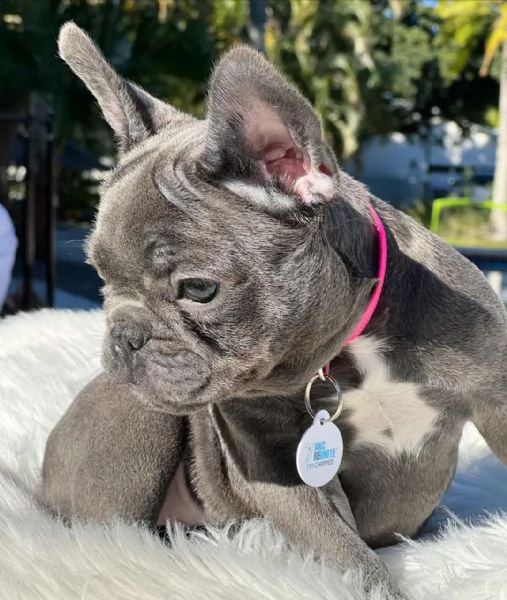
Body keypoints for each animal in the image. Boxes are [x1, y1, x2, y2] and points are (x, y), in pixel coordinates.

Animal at [39, 21, 507, 596]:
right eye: (102, 279)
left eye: (199, 289)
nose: (125, 334)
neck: (351, 350)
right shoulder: (275, 465)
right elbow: (347, 553)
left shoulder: (494, 396)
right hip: (141, 418)